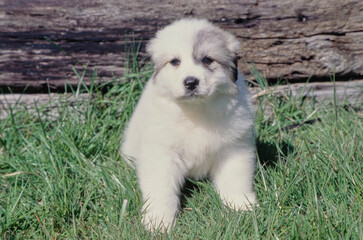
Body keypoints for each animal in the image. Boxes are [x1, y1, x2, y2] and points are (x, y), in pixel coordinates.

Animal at [121, 17, 256, 232]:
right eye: (175, 62)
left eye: (207, 60)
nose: (191, 82)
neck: (195, 111)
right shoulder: (162, 155)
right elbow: (161, 189)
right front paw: (159, 221)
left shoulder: (234, 148)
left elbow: (235, 178)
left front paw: (240, 204)